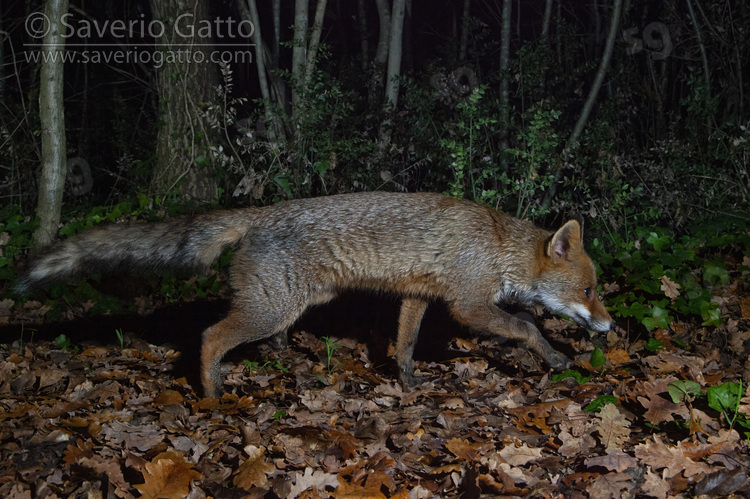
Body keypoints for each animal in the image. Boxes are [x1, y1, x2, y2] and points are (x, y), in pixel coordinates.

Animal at [16, 192, 616, 398]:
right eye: (589, 289)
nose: (610, 327)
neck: (496, 247)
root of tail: (260, 212)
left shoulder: (418, 297)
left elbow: (404, 344)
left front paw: (406, 382)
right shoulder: (468, 305)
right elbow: (527, 326)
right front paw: (555, 358)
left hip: (292, 304)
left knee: (256, 337)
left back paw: (280, 364)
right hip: (270, 308)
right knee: (209, 336)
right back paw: (211, 392)